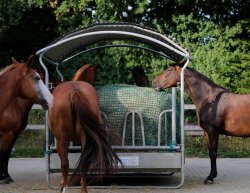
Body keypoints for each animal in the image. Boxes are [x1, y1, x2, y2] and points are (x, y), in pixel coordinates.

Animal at [0, 55, 53, 183]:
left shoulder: (14, 134)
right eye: (37, 78)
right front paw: (3, 177)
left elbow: (7, 154)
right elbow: (3, 154)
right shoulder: (8, 134)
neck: (15, 106)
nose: (51, 98)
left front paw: (6, 175)